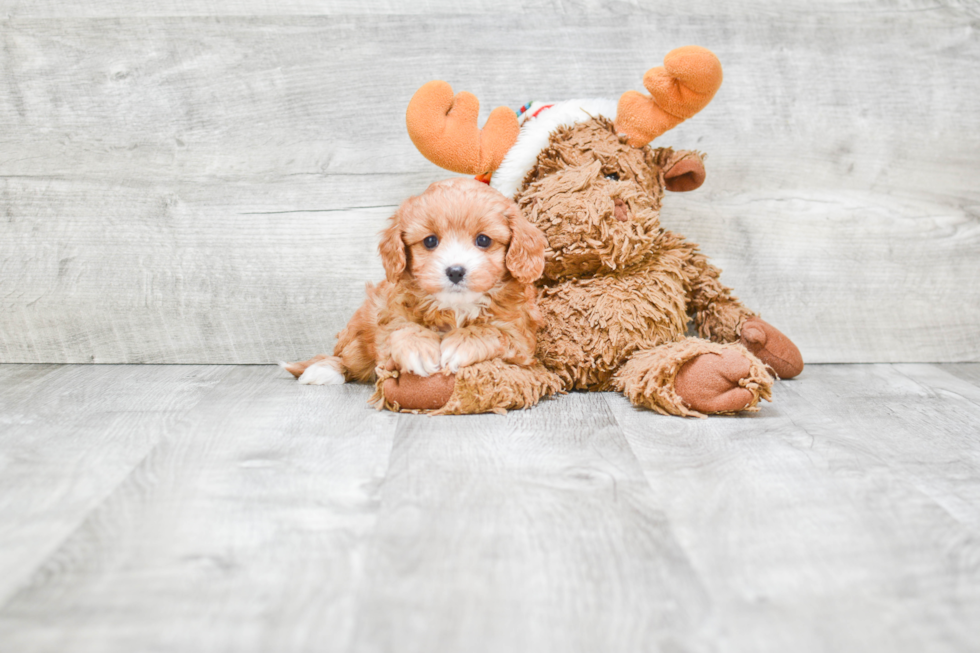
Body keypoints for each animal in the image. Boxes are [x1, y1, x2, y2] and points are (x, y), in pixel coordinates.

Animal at [280, 176, 548, 388]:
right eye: (430, 241)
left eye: (483, 240)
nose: (455, 271)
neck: (455, 307)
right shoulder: (388, 316)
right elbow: (401, 329)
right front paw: (418, 348)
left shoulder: (520, 336)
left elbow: (493, 330)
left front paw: (461, 343)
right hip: (358, 334)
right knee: (350, 358)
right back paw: (324, 369)